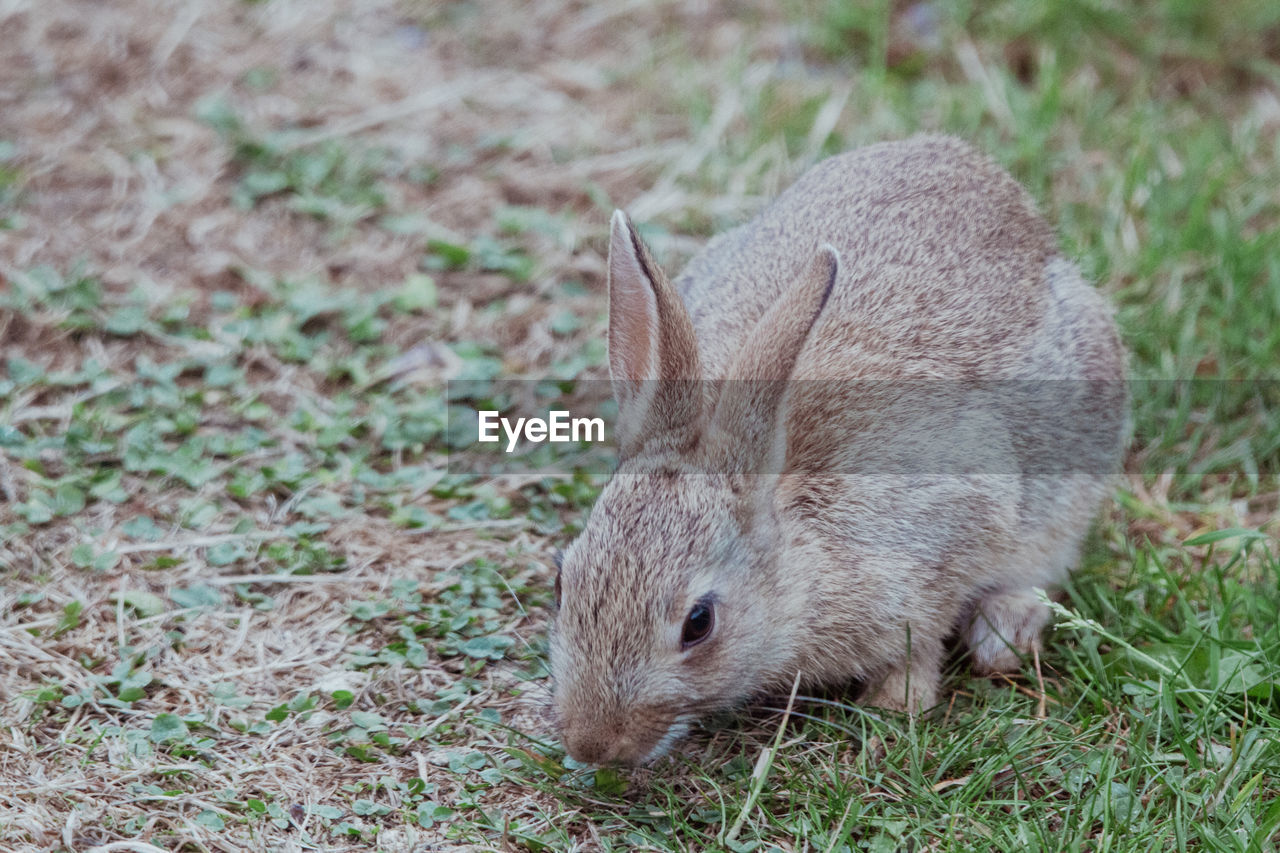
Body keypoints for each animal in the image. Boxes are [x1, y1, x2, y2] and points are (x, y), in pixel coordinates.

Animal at [545, 134, 1126, 763]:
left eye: (699, 623)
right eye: (562, 583)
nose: (592, 742)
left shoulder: (950, 541)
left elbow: (923, 637)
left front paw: (896, 707)